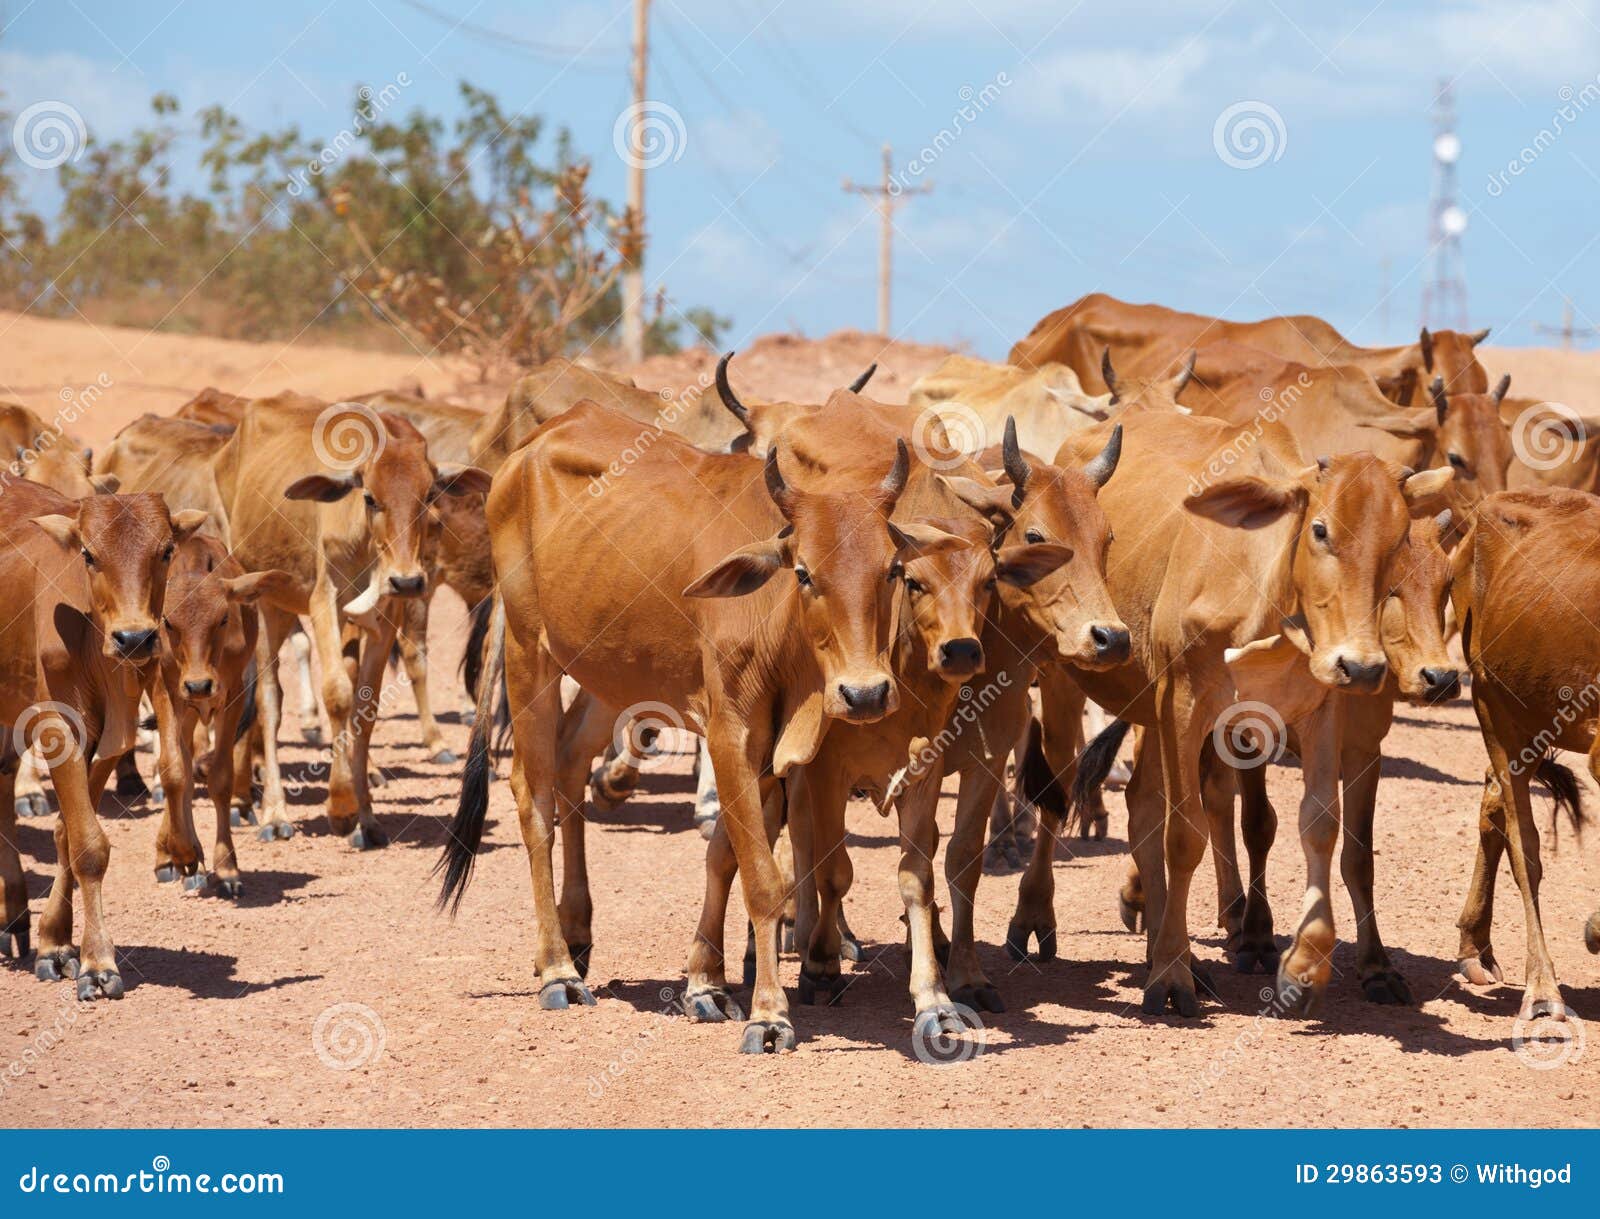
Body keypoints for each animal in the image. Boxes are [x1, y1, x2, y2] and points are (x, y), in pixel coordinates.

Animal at [0, 483, 205, 995]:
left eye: (166, 551)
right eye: (89, 555)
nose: (134, 638)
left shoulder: (113, 733)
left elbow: (68, 835)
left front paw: (55, 943)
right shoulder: (57, 728)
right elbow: (88, 846)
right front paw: (97, 964)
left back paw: (14, 916)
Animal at [214, 398, 490, 846]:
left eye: (429, 496)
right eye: (370, 497)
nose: (407, 580)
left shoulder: (386, 615)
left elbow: (366, 705)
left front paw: (367, 817)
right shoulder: (324, 599)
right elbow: (337, 695)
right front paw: (341, 807)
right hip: (264, 603)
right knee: (268, 699)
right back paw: (271, 812)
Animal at [435, 384, 958, 1054]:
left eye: (892, 569)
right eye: (805, 572)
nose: (864, 694)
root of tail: (528, 447)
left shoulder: (767, 751)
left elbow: (724, 855)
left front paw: (705, 983)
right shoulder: (731, 730)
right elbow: (761, 877)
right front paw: (768, 1014)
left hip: (610, 672)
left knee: (574, 762)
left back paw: (577, 935)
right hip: (532, 654)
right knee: (534, 795)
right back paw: (556, 968)